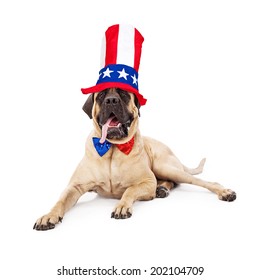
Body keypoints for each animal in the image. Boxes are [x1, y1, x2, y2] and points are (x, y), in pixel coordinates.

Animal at [33, 87, 237, 230]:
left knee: (201, 181)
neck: (112, 148)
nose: (111, 100)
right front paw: (48, 216)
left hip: (166, 167)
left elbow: (129, 191)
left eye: (123, 94)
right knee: (170, 181)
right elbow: (60, 201)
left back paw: (224, 192)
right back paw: (162, 189)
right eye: (101, 95)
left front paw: (122, 206)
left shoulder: (146, 181)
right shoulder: (74, 186)